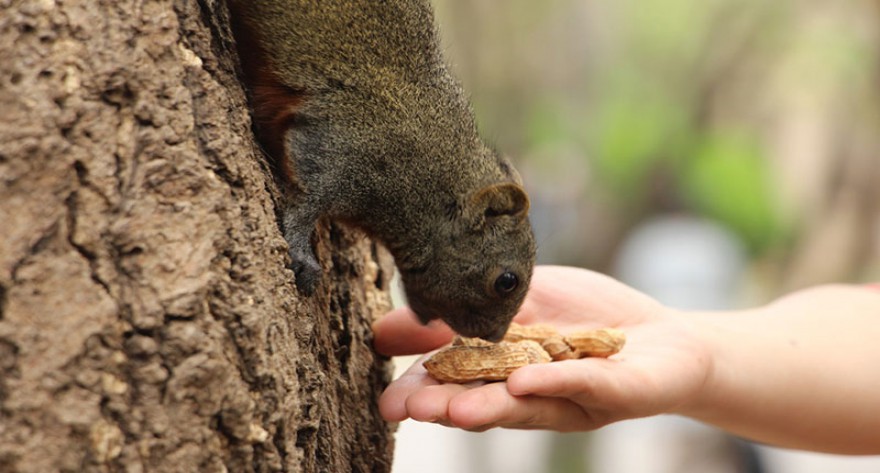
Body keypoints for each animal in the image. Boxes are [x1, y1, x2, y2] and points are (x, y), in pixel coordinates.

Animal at [225, 0, 536, 340]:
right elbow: (307, 203)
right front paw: (302, 255)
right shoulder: (343, 148)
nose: (495, 336)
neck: (429, 175)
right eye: (507, 282)